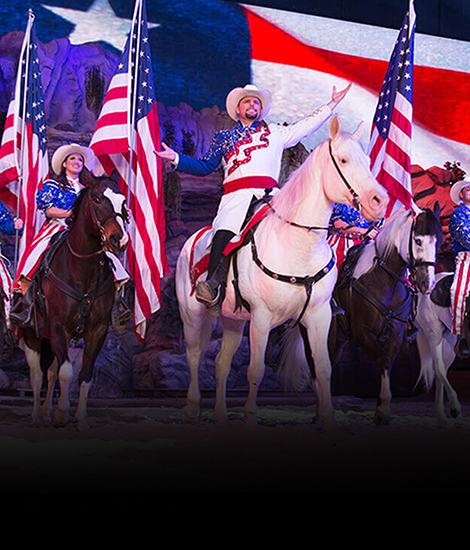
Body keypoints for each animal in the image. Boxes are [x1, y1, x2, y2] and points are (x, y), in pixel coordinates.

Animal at [19, 175, 129, 430]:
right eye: (97, 199)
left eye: (123, 201)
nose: (119, 240)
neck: (83, 269)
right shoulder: (59, 328)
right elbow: (66, 371)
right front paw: (62, 413)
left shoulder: (97, 331)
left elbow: (84, 375)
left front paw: (80, 418)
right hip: (32, 335)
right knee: (37, 375)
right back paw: (37, 415)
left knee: (50, 372)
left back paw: (47, 413)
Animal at [175, 115, 388, 431]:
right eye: (344, 160)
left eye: (367, 160)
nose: (380, 201)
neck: (297, 246)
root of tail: (193, 238)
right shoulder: (262, 318)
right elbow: (255, 371)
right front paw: (250, 418)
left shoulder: (319, 316)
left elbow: (323, 368)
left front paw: (326, 418)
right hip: (192, 315)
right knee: (194, 356)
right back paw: (191, 409)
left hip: (232, 320)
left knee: (221, 363)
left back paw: (221, 417)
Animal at [325, 204, 443, 426]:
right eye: (417, 240)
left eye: (438, 241)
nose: (427, 283)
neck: (384, 279)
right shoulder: (362, 334)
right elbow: (384, 360)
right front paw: (382, 410)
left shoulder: (395, 335)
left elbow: (387, 363)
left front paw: (382, 410)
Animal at [415, 271, 461, 420]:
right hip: (434, 332)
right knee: (439, 367)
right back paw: (453, 407)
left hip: (448, 339)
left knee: (440, 369)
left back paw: (441, 415)